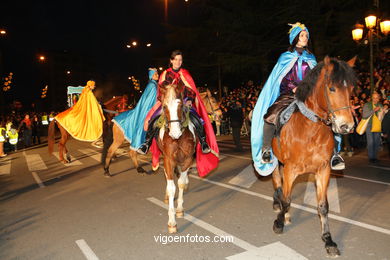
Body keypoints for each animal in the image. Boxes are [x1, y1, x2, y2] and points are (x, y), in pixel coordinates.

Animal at [157, 82, 197, 233]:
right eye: (164, 106)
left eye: (180, 106)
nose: (175, 133)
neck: (178, 139)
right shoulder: (168, 160)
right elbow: (172, 188)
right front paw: (172, 222)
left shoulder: (187, 159)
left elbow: (180, 183)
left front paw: (179, 209)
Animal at [272, 55, 356, 256]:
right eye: (332, 88)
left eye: (351, 89)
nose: (347, 126)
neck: (311, 130)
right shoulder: (291, 169)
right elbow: (286, 199)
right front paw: (278, 223)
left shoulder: (323, 170)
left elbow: (323, 206)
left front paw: (328, 241)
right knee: (278, 186)